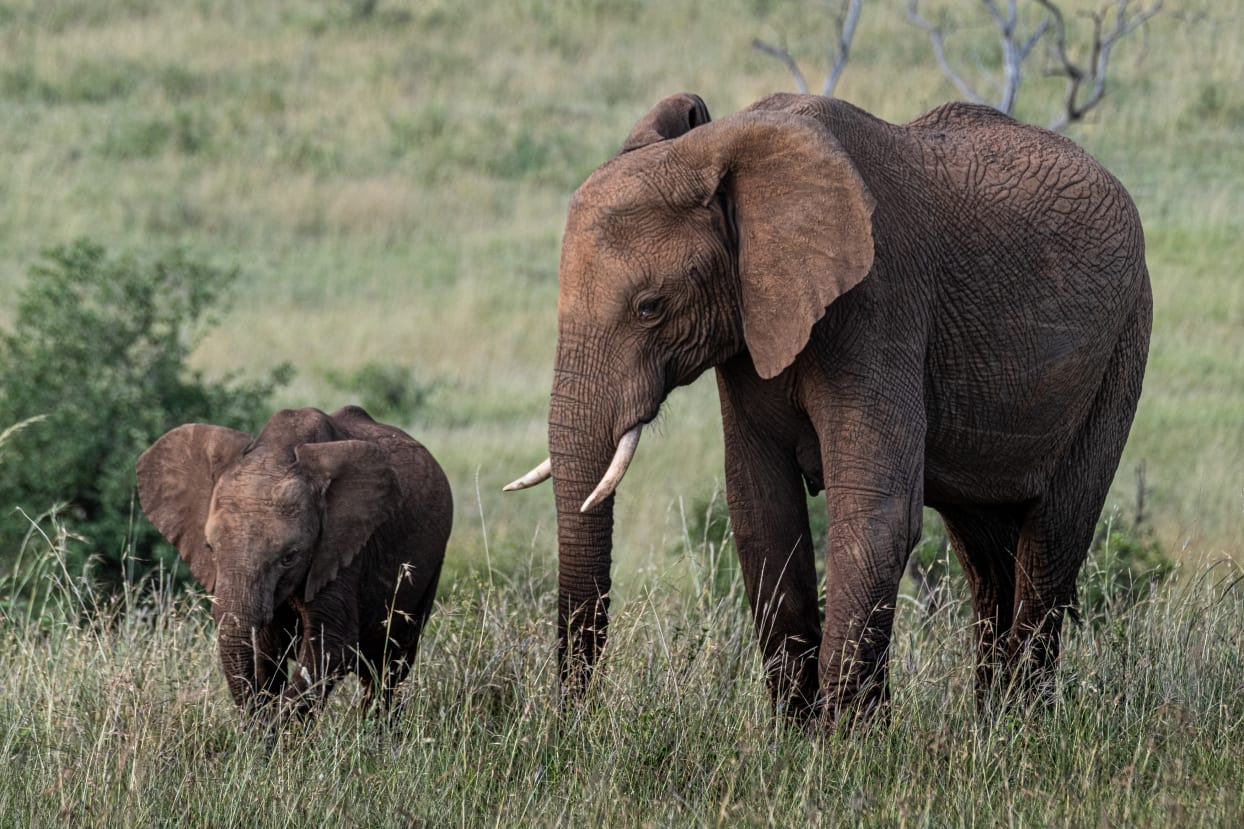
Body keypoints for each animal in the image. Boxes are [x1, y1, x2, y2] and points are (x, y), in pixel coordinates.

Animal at [141, 403, 452, 711]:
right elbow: (265, 651)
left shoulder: (343, 548)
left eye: (290, 557)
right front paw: (263, 719)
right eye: (211, 550)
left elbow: (329, 647)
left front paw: (276, 723)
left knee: (389, 664)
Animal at [507, 92, 1154, 721]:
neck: (727, 151)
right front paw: (793, 735)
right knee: (984, 551)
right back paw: (989, 722)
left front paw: (846, 740)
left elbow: (876, 511)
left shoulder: (880, 302)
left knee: (1052, 537)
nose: (574, 719)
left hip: (1124, 344)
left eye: (649, 307)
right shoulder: (750, 328)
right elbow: (762, 510)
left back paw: (1022, 727)